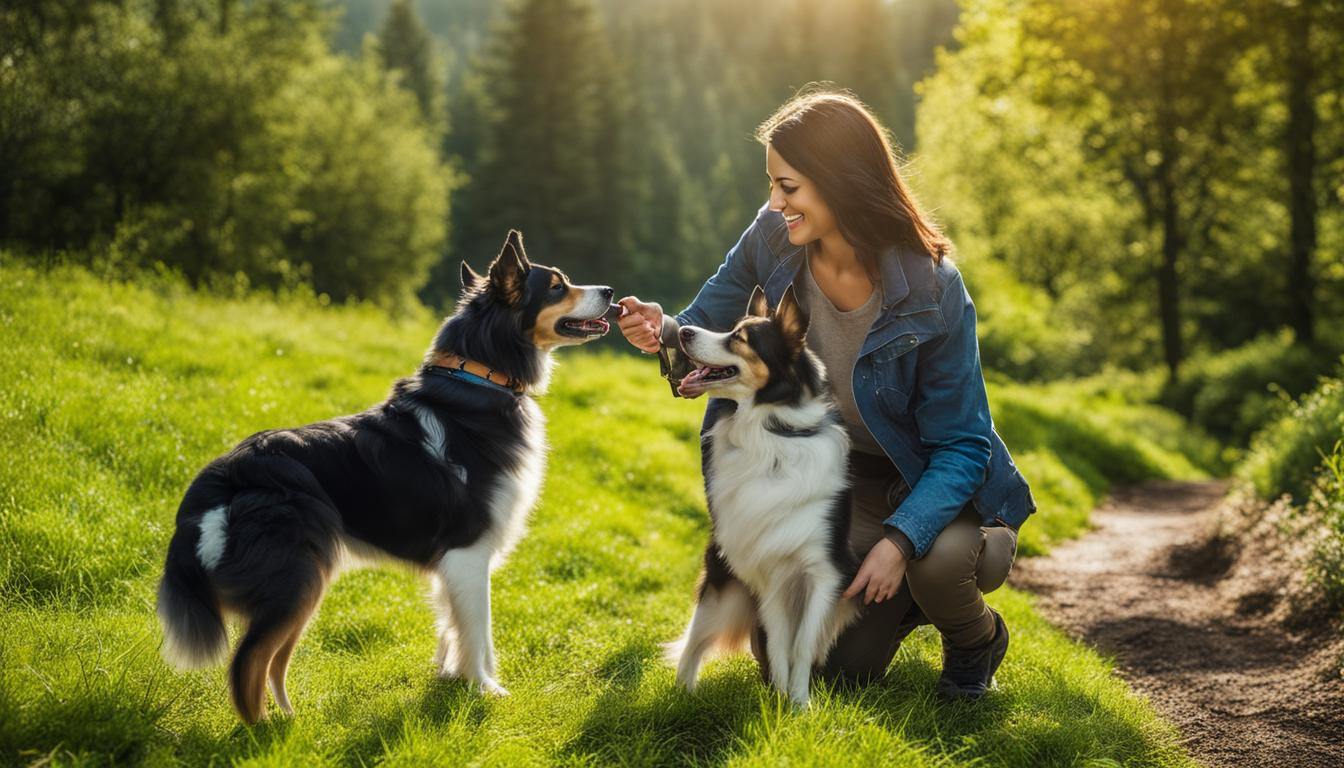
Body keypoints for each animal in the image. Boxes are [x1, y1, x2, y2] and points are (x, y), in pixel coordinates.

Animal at [157, 231, 615, 726]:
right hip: (297, 581)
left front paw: (452, 678)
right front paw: (485, 690)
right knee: (249, 664)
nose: (611, 292)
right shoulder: (469, 552)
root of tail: (223, 474)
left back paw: (290, 719)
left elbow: (453, 627)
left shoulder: (453, 565)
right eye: (556, 286)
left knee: (271, 663)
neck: (481, 378)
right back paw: (265, 732)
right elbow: (479, 632)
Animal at [663, 283, 860, 710]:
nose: (682, 332)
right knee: (696, 640)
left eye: (740, 337)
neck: (772, 431)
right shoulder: (768, 574)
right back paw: (682, 695)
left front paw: (796, 704)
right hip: (721, 585)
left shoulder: (821, 574)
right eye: (732, 327)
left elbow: (798, 645)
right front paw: (783, 699)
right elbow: (779, 644)